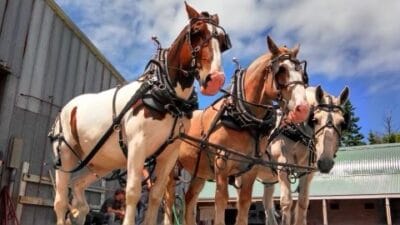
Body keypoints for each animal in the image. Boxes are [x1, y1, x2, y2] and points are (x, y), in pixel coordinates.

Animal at [50, 2, 231, 225]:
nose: (216, 79)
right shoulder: (138, 146)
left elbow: (156, 196)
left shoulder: (169, 154)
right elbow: (133, 192)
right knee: (60, 201)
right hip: (64, 156)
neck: (166, 96)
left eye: (222, 41)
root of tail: (68, 108)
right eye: (197, 32)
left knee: (78, 189)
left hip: (101, 163)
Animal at [162, 37, 310, 225]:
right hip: (171, 167)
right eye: (281, 70)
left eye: (302, 73)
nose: (302, 109)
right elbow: (221, 199)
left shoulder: (251, 167)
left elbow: (245, 202)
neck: (242, 118)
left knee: (189, 199)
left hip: (199, 172)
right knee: (169, 199)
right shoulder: (222, 160)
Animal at [247, 85, 350, 224]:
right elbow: (286, 202)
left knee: (267, 204)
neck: (295, 130)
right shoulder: (283, 167)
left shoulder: (307, 171)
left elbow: (303, 203)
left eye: (342, 123)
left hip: (268, 180)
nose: (325, 163)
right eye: (315, 120)